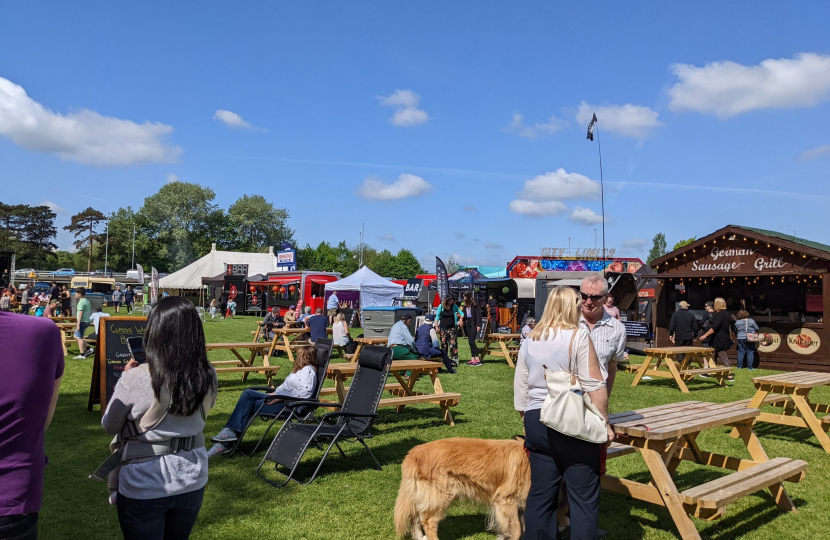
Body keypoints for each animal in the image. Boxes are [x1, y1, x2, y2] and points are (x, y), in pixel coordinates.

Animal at [394, 436, 528, 536]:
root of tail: (412, 453)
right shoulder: (506, 500)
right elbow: (517, 530)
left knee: (415, 518)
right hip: (440, 497)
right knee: (428, 522)